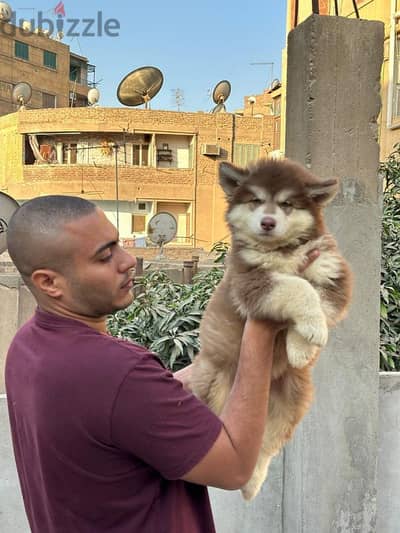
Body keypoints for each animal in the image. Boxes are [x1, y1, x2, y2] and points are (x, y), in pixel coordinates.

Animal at [191, 158, 354, 498]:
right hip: (212, 384)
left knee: (265, 446)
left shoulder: (333, 274)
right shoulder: (251, 281)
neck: (281, 251)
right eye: (255, 200)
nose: (267, 222)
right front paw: (309, 334)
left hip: (291, 401)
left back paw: (251, 484)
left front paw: (302, 345)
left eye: (287, 204)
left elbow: (320, 299)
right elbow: (297, 287)